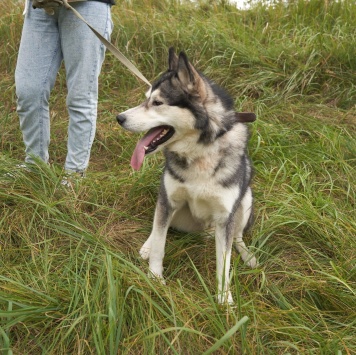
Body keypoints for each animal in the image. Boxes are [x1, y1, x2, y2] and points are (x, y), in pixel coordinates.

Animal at [118, 46, 258, 304]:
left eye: (157, 102)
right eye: (146, 98)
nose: (119, 118)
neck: (199, 154)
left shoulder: (225, 216)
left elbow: (224, 263)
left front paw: (224, 301)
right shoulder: (168, 199)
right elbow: (160, 242)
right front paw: (155, 278)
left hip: (246, 200)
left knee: (238, 236)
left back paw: (247, 254)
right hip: (168, 203)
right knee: (158, 226)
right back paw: (147, 245)